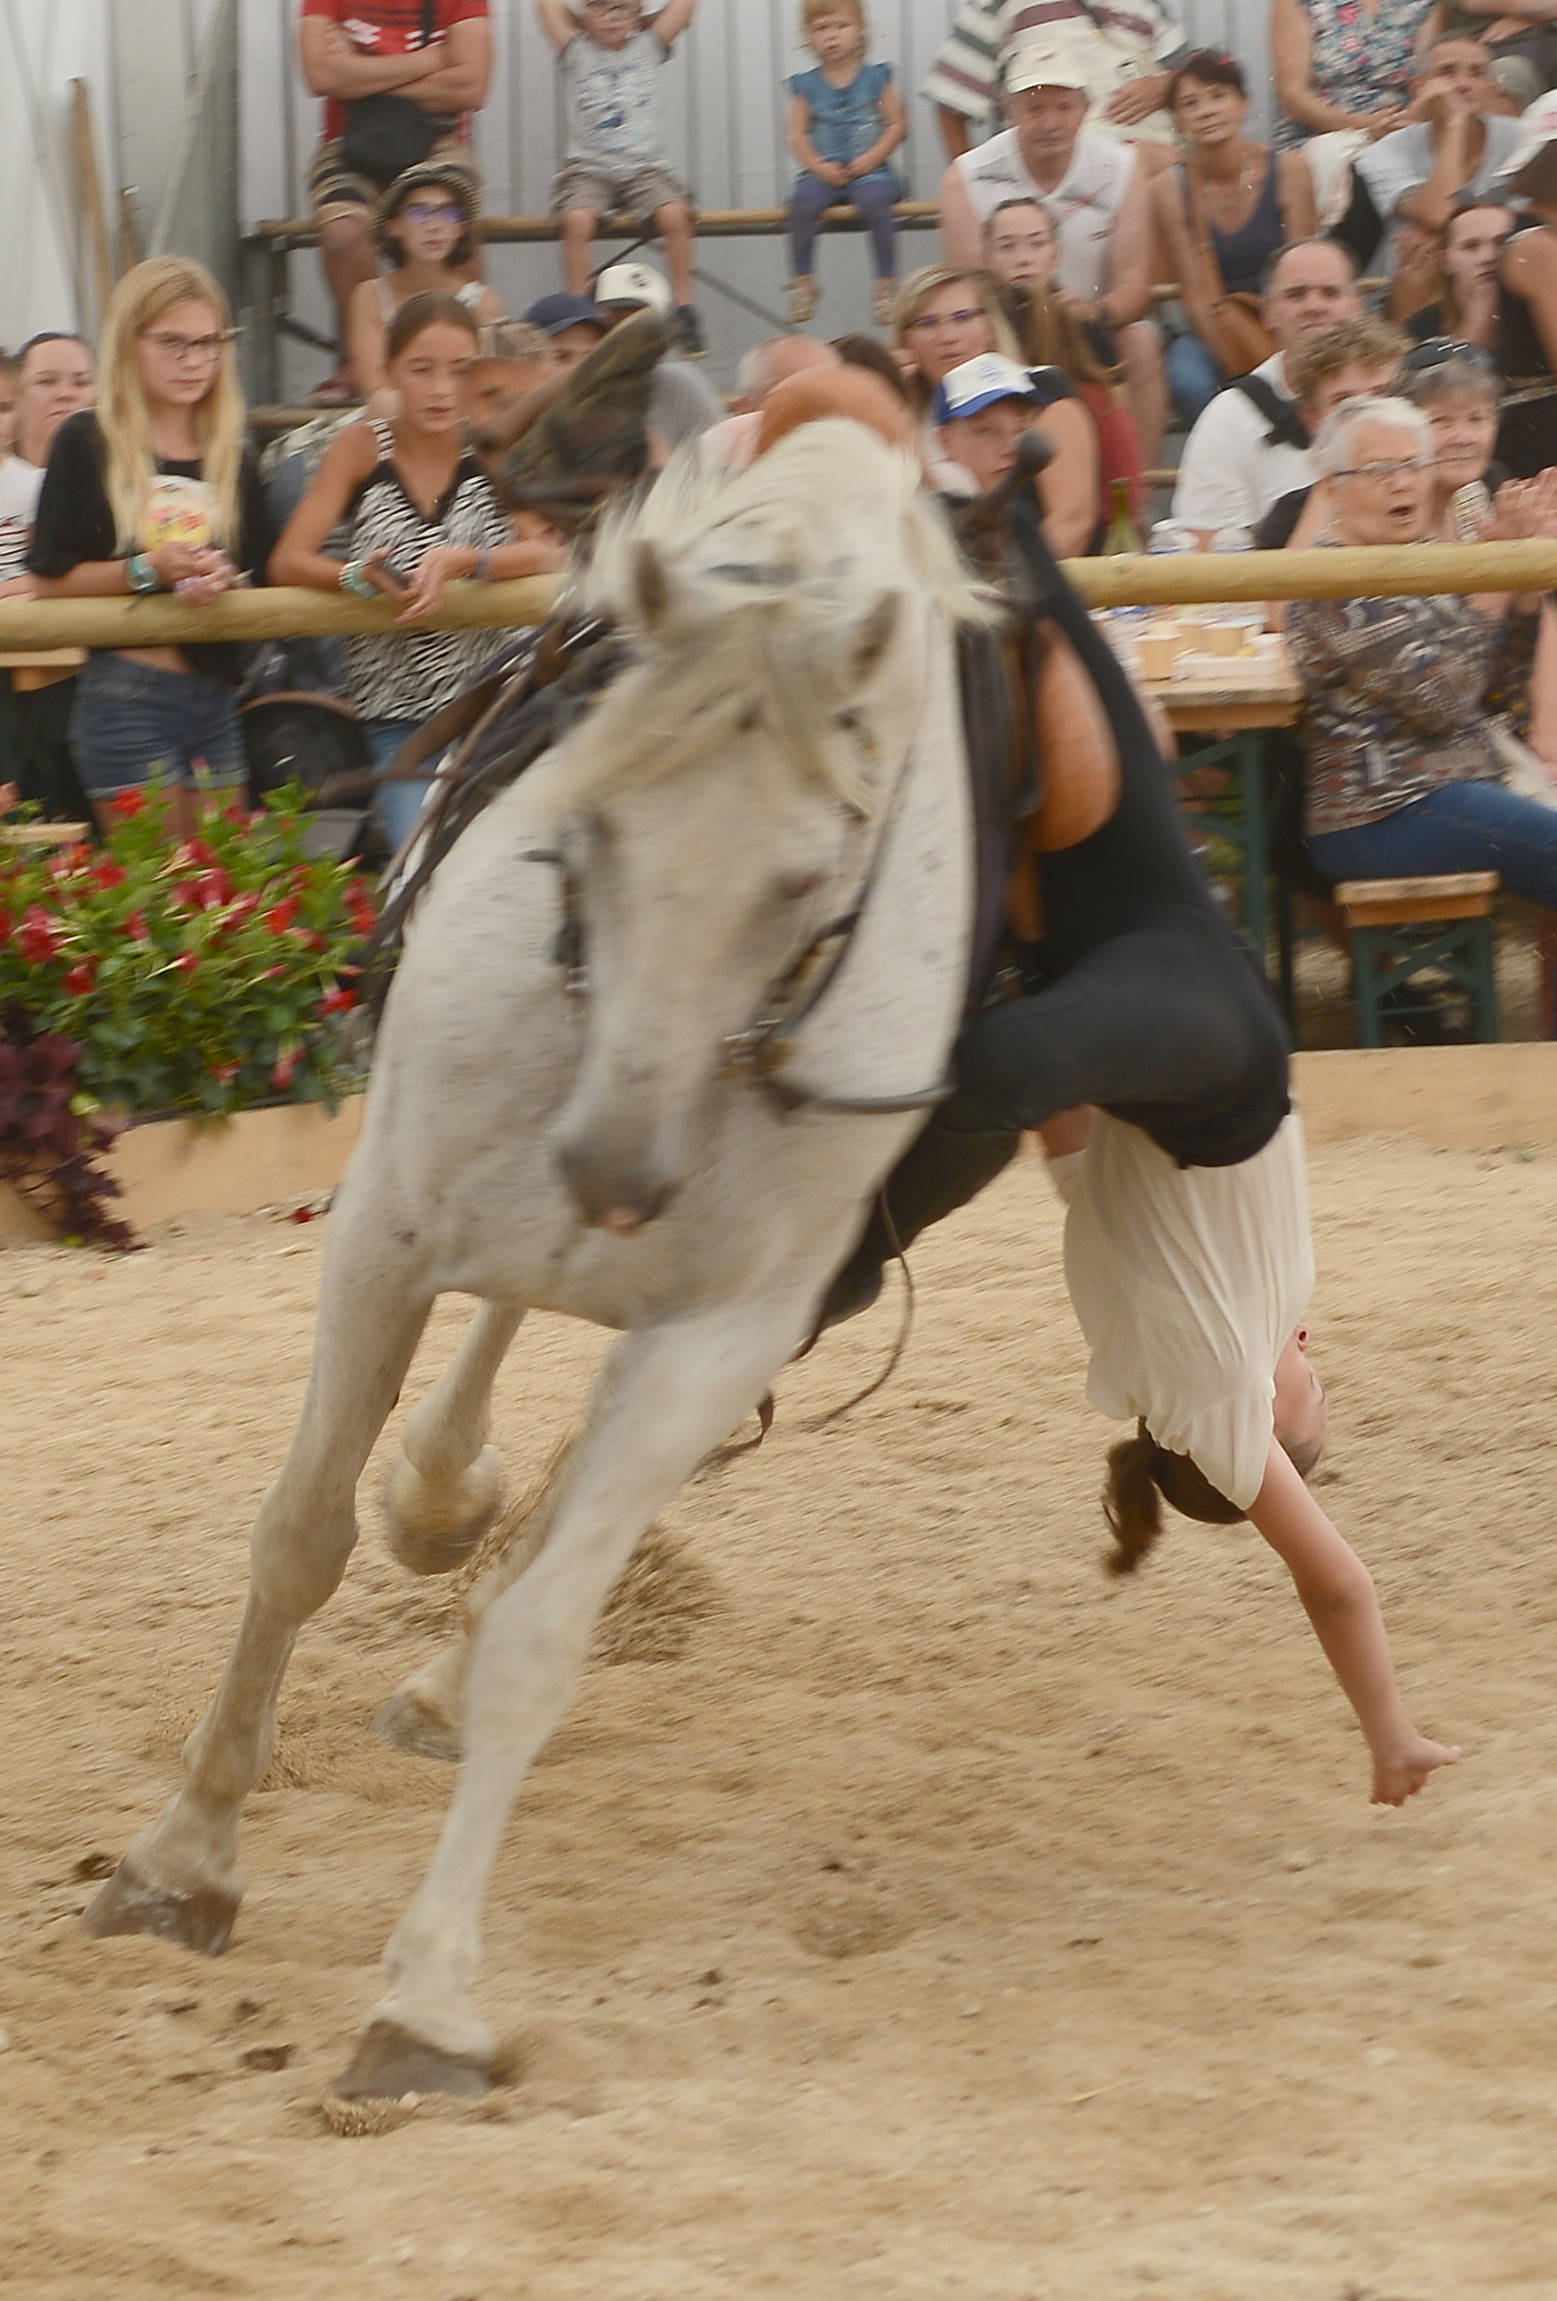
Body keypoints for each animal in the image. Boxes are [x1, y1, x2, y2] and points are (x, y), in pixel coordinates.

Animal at [82, 418, 984, 2107]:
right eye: (599, 826)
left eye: (805, 876)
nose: (620, 1165)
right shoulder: (386, 1228)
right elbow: (296, 1540)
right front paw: (183, 1859)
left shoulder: (728, 1327)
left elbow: (545, 1636)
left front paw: (428, 2000)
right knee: (492, 1336)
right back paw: (439, 1491)